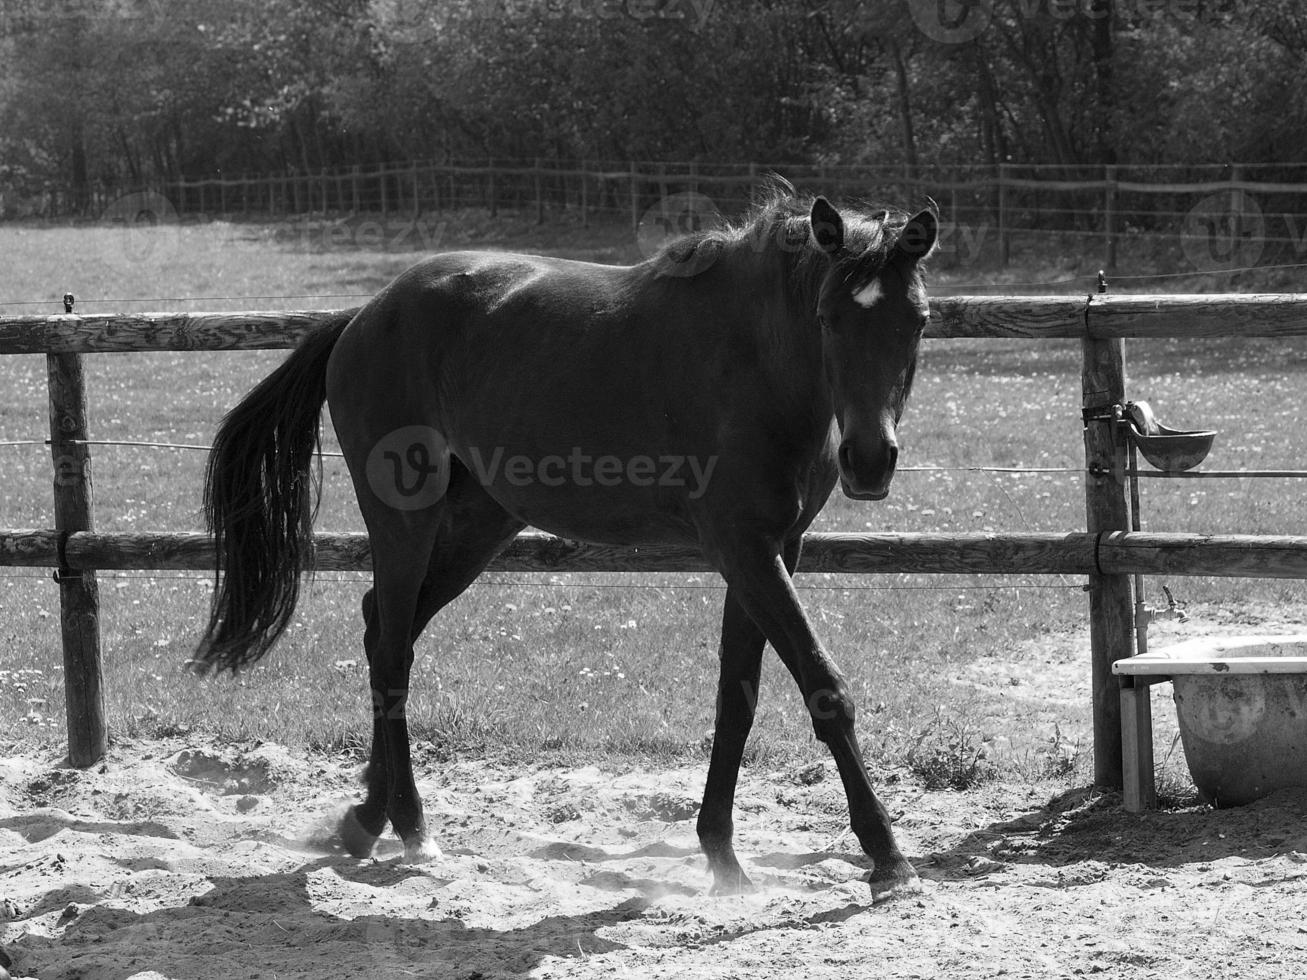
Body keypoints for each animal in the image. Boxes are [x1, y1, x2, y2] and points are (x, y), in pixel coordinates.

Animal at [196, 188, 930, 904]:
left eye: (917, 320)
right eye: (829, 316)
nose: (869, 460)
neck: (755, 362)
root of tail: (362, 317)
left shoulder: (772, 550)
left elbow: (736, 699)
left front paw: (722, 856)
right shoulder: (744, 549)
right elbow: (824, 688)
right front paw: (887, 858)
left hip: (478, 526)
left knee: (384, 629)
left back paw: (373, 820)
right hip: (404, 522)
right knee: (392, 651)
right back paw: (404, 826)